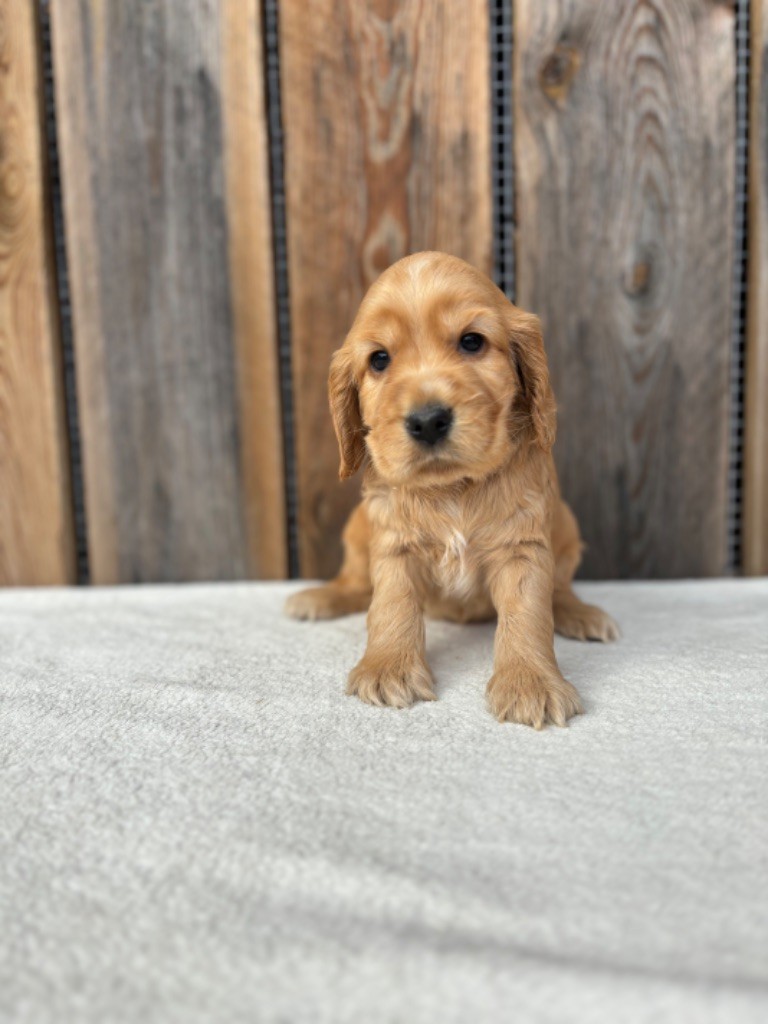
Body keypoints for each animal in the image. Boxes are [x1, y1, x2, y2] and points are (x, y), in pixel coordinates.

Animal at [286, 252, 618, 728]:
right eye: (379, 359)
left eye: (472, 342)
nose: (427, 421)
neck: (452, 488)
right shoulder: (394, 543)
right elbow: (390, 604)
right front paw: (388, 668)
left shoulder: (522, 544)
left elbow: (529, 612)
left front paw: (530, 683)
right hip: (357, 528)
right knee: (356, 582)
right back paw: (320, 597)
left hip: (567, 525)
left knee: (560, 589)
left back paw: (581, 614)